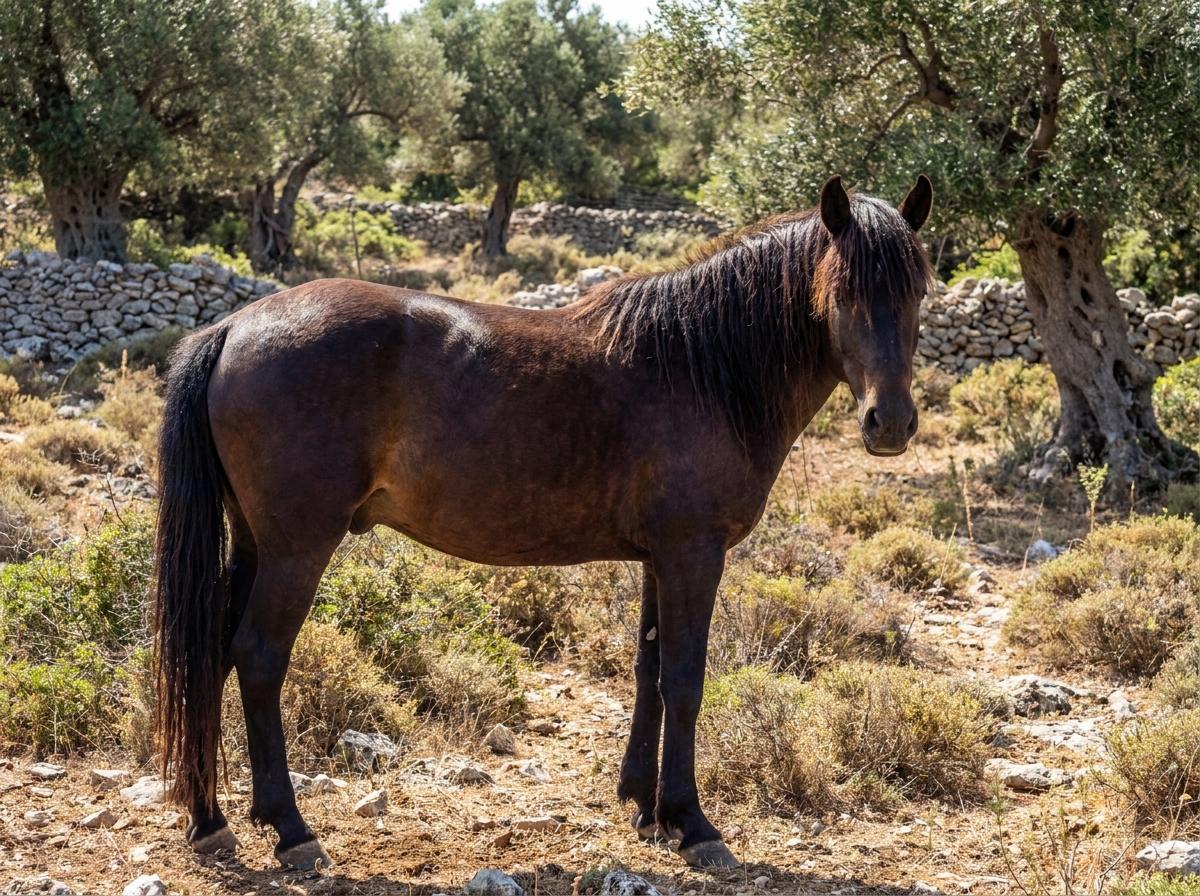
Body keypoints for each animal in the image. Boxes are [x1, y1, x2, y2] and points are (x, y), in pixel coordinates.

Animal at [154, 174, 933, 871]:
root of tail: (233, 326)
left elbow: (649, 671)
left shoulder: (660, 558)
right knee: (258, 657)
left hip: (254, 545)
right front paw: (694, 824)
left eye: (919, 291)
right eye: (845, 292)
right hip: (297, 547)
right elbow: (685, 680)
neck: (702, 366)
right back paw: (291, 830)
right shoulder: (694, 554)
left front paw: (646, 809)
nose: (890, 424)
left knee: (212, 654)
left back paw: (210, 822)